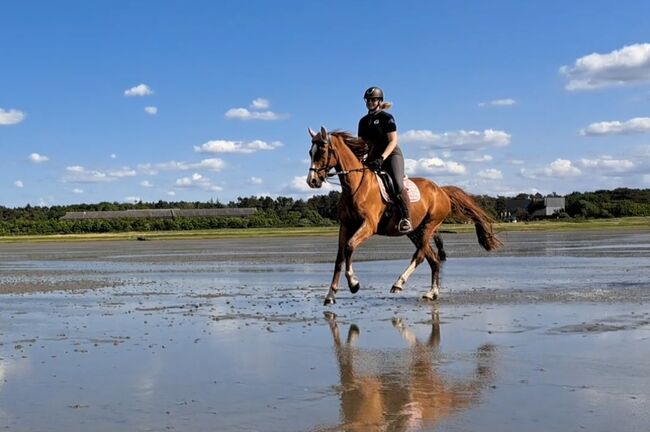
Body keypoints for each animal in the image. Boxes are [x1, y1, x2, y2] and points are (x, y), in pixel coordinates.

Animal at [306, 126, 502, 306]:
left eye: (322, 151)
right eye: (310, 152)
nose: (312, 181)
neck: (355, 186)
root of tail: (441, 191)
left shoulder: (368, 225)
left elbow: (349, 247)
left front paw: (354, 283)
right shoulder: (346, 225)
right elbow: (339, 257)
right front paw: (330, 295)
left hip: (429, 226)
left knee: (420, 256)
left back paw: (399, 283)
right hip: (415, 231)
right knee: (433, 259)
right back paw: (432, 293)